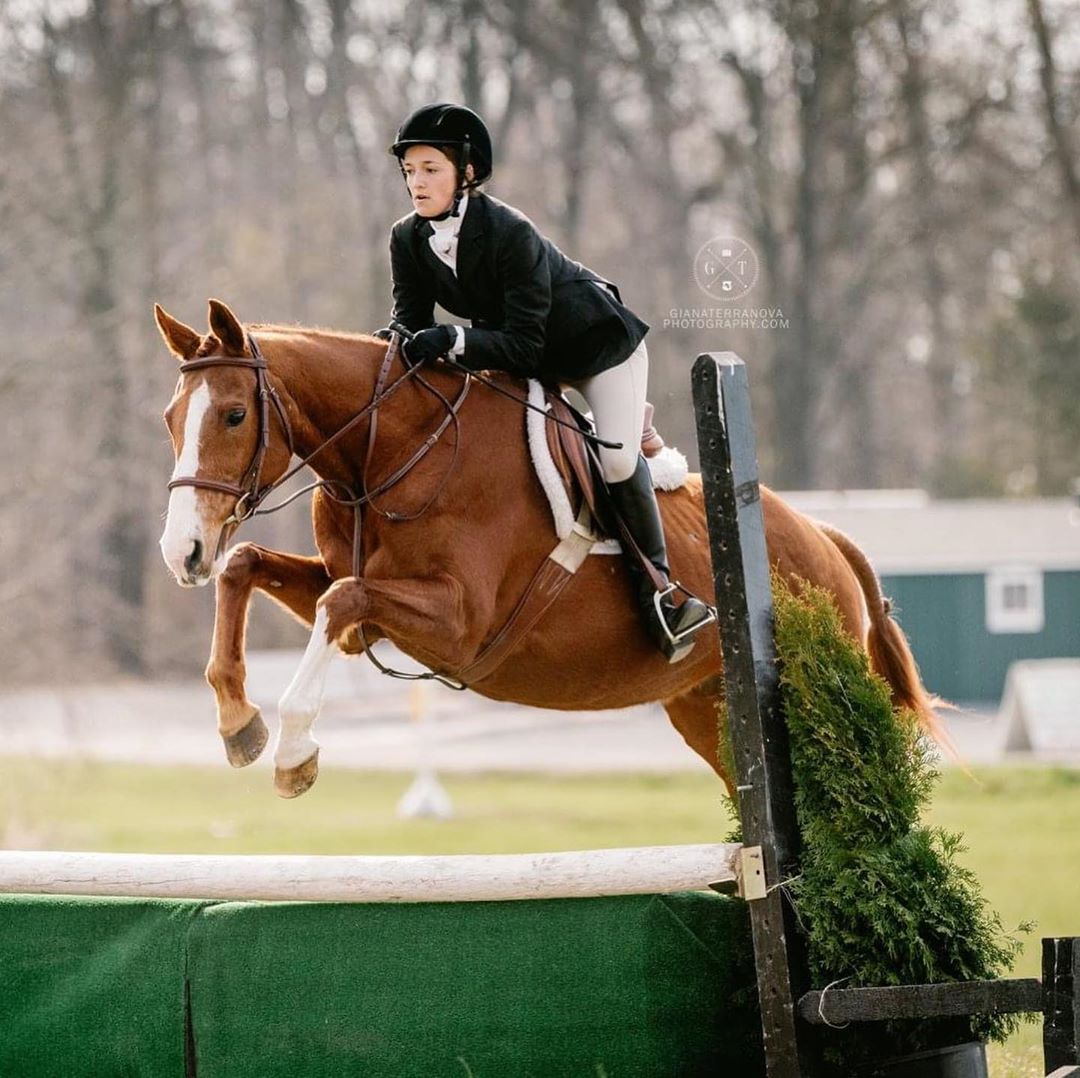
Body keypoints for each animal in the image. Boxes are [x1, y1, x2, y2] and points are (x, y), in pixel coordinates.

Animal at [156, 299, 942, 799]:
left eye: (234, 414)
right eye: (170, 418)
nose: (180, 551)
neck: (396, 451)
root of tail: (824, 537)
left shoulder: (460, 622)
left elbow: (339, 599)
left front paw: (293, 751)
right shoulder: (372, 608)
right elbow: (249, 566)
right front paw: (238, 723)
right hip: (707, 707)